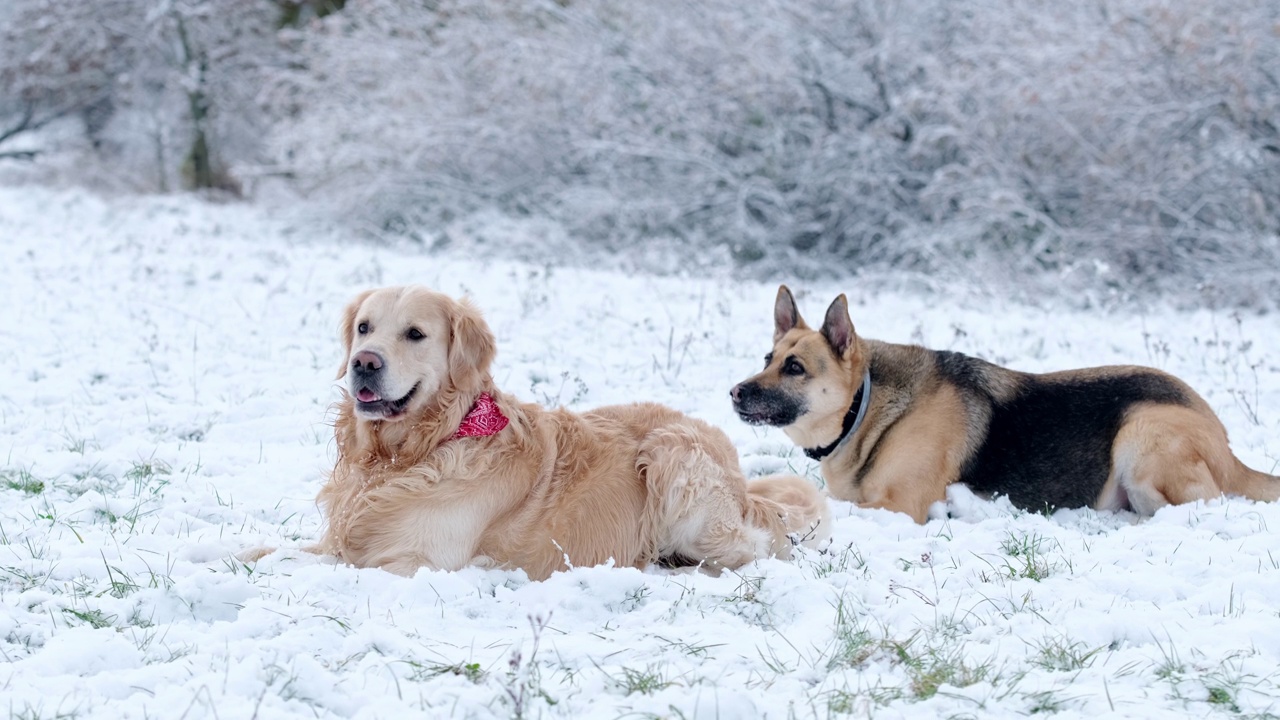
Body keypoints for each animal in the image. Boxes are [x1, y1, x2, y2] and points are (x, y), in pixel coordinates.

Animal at [732, 284, 1280, 520]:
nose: (734, 392)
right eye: (767, 358)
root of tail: (1224, 440)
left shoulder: (898, 506)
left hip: (1141, 440)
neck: (863, 409)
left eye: (795, 368)